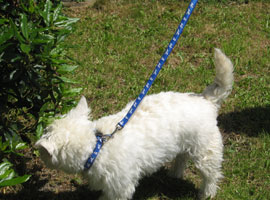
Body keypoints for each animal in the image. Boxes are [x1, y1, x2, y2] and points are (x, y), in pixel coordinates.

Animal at [35, 48, 234, 200]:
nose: (37, 149)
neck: (97, 146)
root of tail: (207, 101)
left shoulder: (120, 186)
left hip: (206, 151)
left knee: (211, 175)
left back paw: (206, 193)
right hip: (186, 143)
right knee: (182, 158)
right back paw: (175, 174)